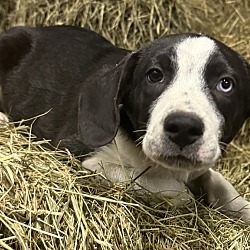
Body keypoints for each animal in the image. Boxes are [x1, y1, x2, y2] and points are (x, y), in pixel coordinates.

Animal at [0, 26, 249, 222]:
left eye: (226, 84)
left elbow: (218, 182)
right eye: (155, 75)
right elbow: (161, 186)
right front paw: (189, 197)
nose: (184, 128)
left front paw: (242, 207)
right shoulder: (76, 154)